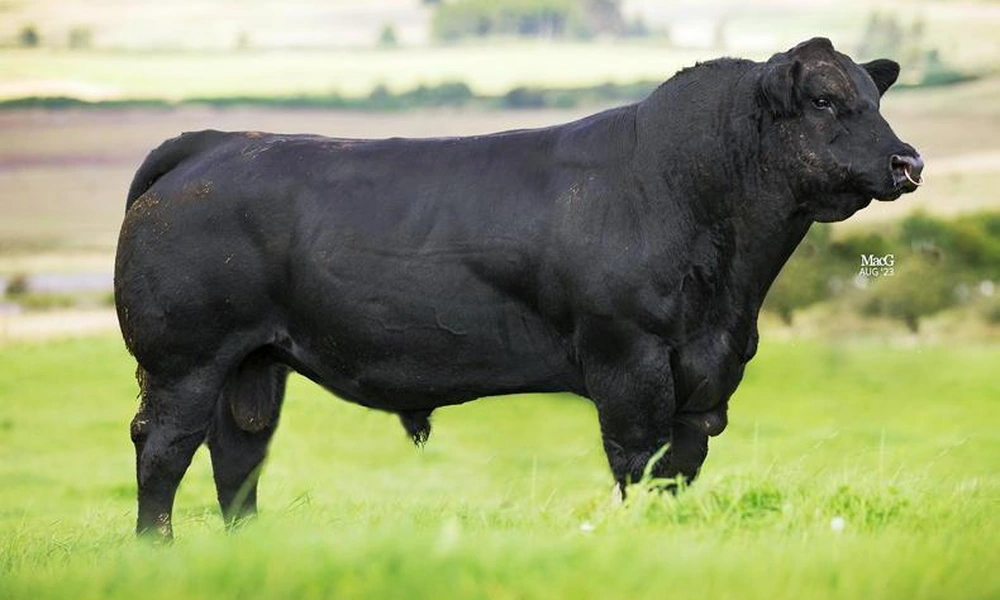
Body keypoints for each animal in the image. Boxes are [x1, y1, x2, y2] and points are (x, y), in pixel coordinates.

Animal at [115, 37, 923, 538]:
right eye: (824, 101)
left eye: (874, 98)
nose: (908, 161)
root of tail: (212, 143)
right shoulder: (627, 363)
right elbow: (637, 463)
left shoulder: (707, 379)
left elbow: (678, 472)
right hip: (185, 361)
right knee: (164, 449)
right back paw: (158, 552)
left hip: (252, 364)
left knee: (237, 454)